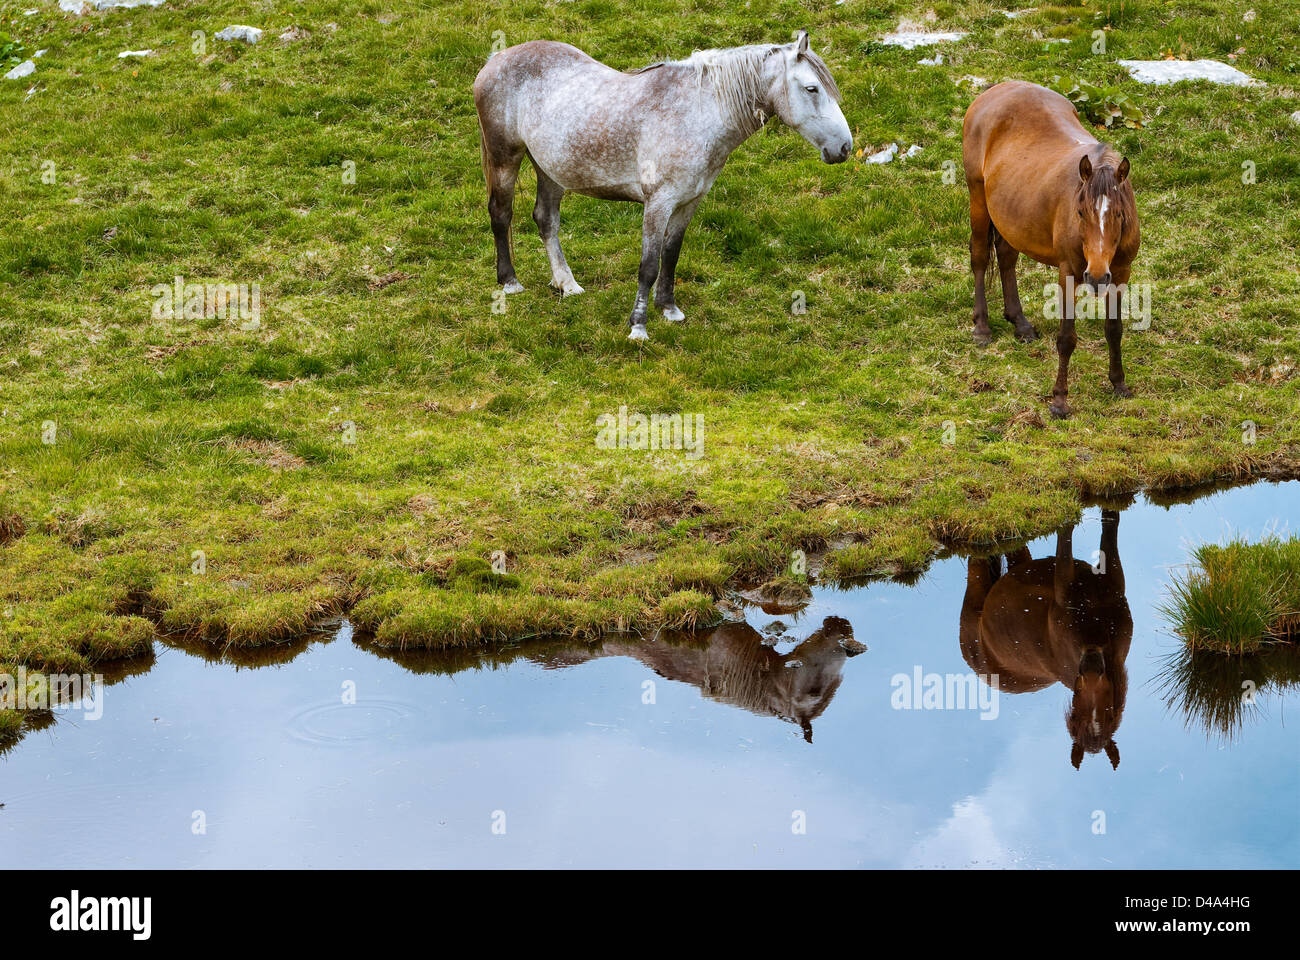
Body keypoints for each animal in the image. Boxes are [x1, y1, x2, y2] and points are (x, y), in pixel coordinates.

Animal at [473, 31, 847, 338]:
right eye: (812, 88)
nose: (844, 147)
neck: (698, 114)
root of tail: (495, 59)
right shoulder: (658, 203)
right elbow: (649, 265)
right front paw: (638, 326)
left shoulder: (689, 202)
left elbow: (671, 254)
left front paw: (669, 309)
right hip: (505, 158)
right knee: (501, 214)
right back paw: (510, 283)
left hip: (550, 170)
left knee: (546, 219)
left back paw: (566, 283)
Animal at [961, 78, 1144, 416]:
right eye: (1080, 212)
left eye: (1119, 214)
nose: (1096, 277)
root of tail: (997, 89)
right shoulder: (1069, 273)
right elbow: (1067, 338)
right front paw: (1059, 400)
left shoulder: (1121, 273)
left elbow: (1114, 330)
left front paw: (1119, 384)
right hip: (977, 196)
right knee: (979, 256)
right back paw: (982, 327)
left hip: (1012, 217)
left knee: (1006, 257)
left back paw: (1020, 323)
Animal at [961, 509, 1133, 770]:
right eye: (1074, 716)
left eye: (1111, 715)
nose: (1092, 665)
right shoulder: (1064, 575)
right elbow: (1066, 534)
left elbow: (1110, 525)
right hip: (976, 583)